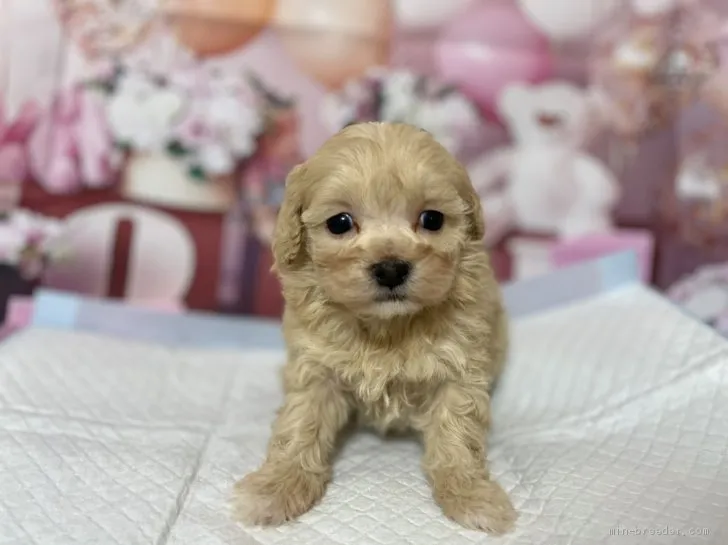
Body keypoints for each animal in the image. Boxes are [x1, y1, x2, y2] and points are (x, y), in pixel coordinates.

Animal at [232, 122, 512, 532]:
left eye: (432, 219)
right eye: (340, 223)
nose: (391, 268)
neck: (386, 327)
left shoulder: (458, 367)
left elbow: (458, 433)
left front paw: (470, 494)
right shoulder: (315, 366)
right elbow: (300, 425)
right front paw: (277, 487)